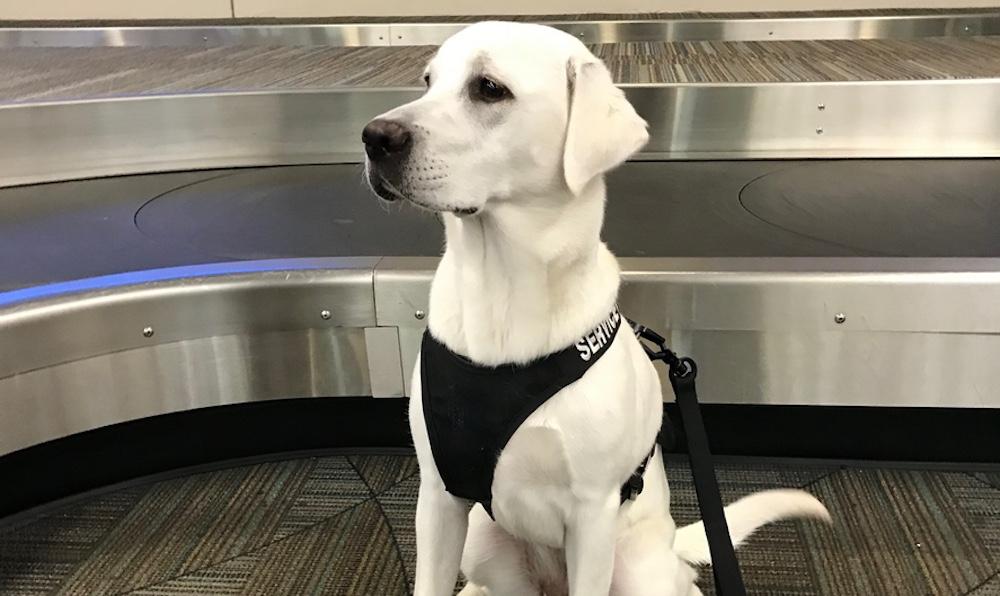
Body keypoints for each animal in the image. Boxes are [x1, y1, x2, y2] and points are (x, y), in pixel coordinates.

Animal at [364, 19, 832, 596]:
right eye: (428, 81)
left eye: (489, 88)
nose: (374, 137)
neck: (502, 291)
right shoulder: (438, 495)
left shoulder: (591, 516)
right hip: (481, 539)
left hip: (637, 568)